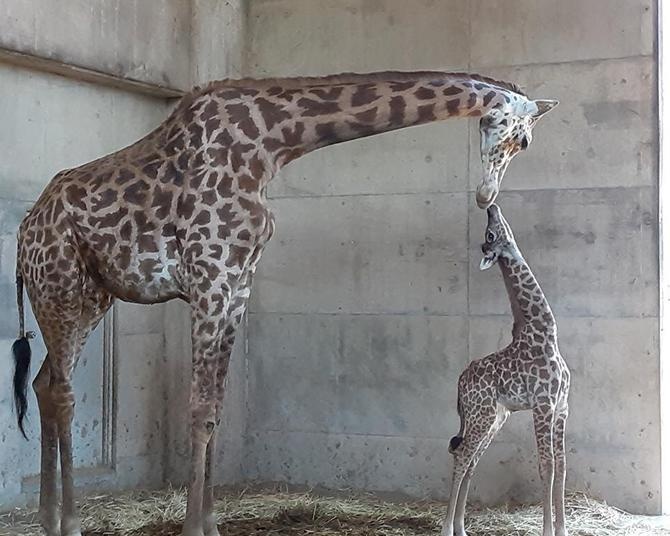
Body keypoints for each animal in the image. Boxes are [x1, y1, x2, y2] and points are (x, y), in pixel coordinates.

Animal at [440, 204, 572, 536]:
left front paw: (563, 530)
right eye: (490, 234)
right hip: (481, 415)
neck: (547, 333)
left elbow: (562, 466)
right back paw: (447, 527)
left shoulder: (562, 409)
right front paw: (548, 531)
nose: (491, 207)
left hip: (494, 417)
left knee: (471, 460)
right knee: (462, 455)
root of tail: (458, 384)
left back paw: (461, 528)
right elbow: (547, 466)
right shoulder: (543, 405)